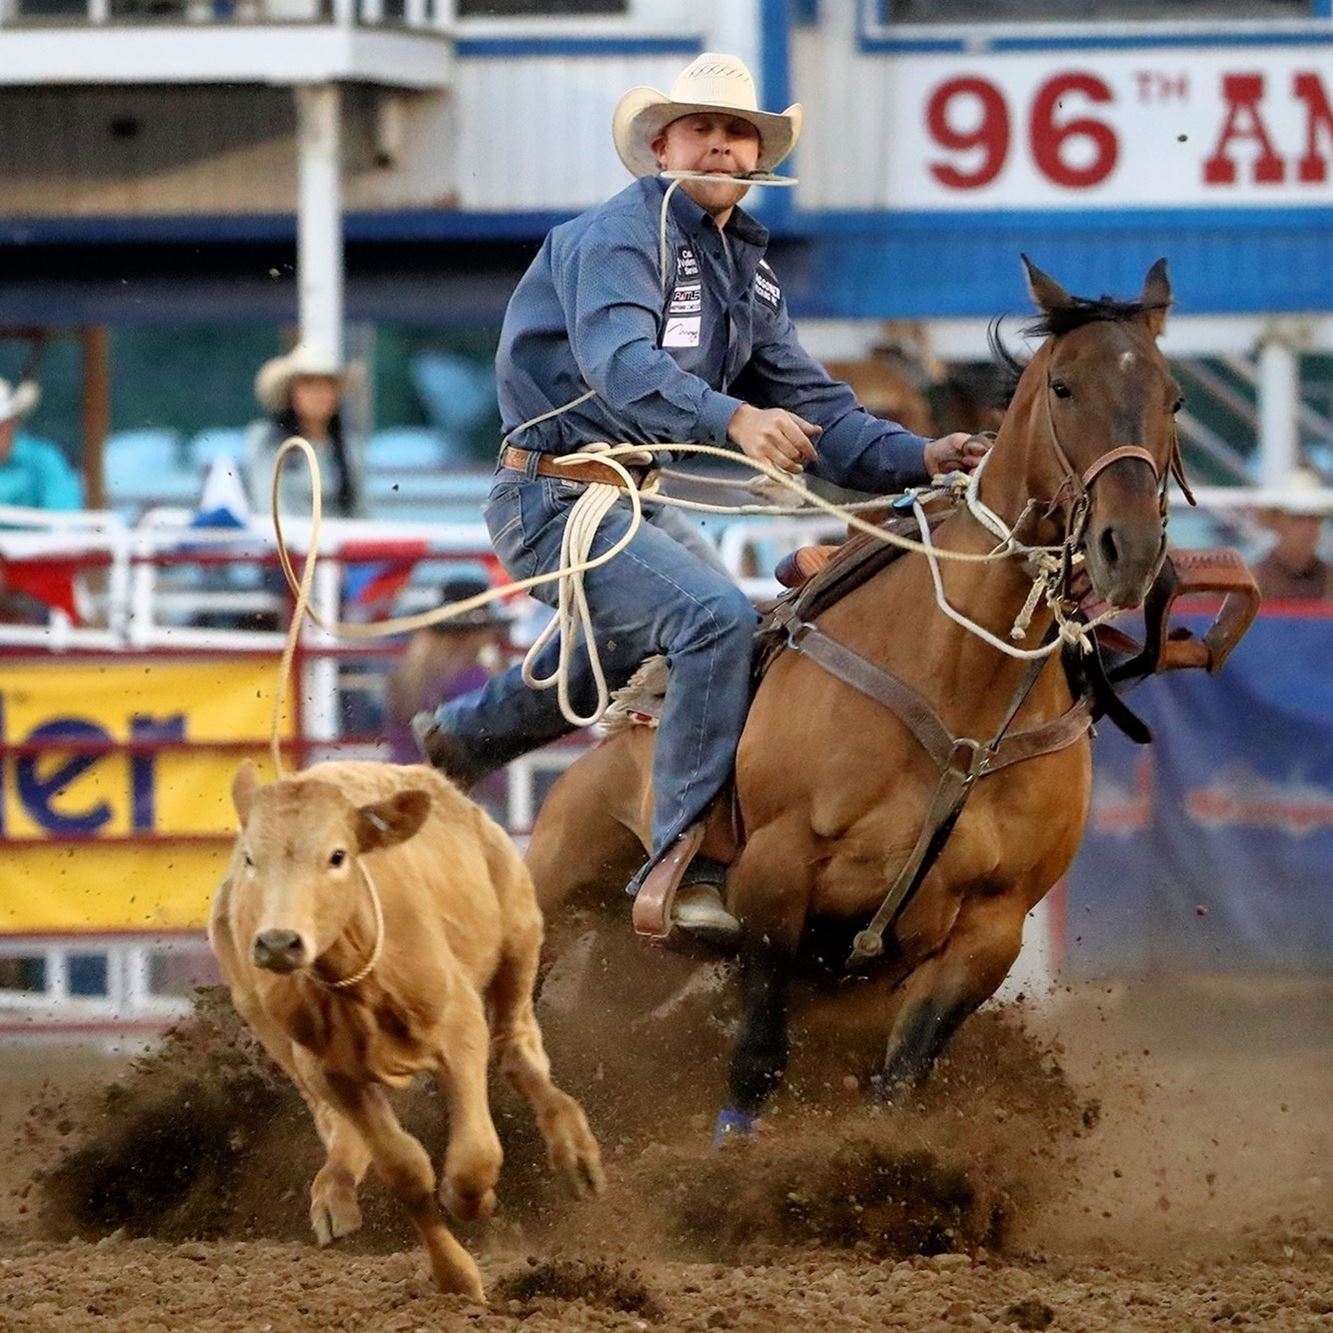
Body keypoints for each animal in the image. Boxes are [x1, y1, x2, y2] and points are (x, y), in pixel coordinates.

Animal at [209, 762, 605, 1301]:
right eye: (251, 857)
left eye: (337, 855)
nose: (277, 942)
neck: (357, 979)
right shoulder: (331, 1070)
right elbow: (405, 1169)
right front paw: (457, 1276)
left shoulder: (460, 1027)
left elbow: (474, 1157)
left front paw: (471, 1201)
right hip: (262, 1018)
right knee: (328, 1118)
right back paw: (335, 1189)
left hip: (520, 932)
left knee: (518, 1048)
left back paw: (576, 1156)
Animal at [525, 257, 1183, 1135]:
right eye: (1064, 387)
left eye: (1171, 397)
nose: (1128, 548)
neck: (961, 691)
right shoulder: (773, 880)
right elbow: (757, 1061)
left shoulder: (990, 929)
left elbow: (900, 1077)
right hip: (561, 877)